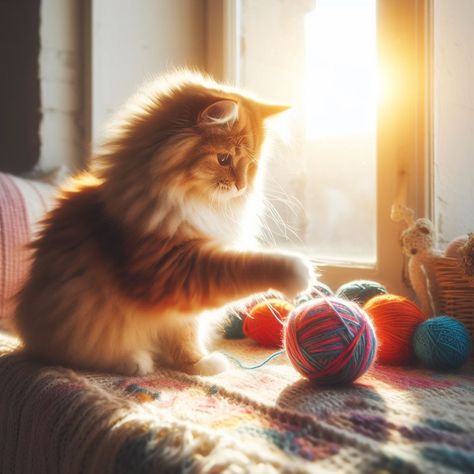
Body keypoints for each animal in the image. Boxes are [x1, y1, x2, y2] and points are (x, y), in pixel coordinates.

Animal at [15, 72, 314, 376]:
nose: (242, 186)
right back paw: (134, 361)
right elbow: (243, 266)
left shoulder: (180, 303)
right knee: (74, 354)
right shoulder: (171, 268)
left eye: (251, 166)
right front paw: (298, 271)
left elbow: (185, 336)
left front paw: (196, 362)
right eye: (224, 159)